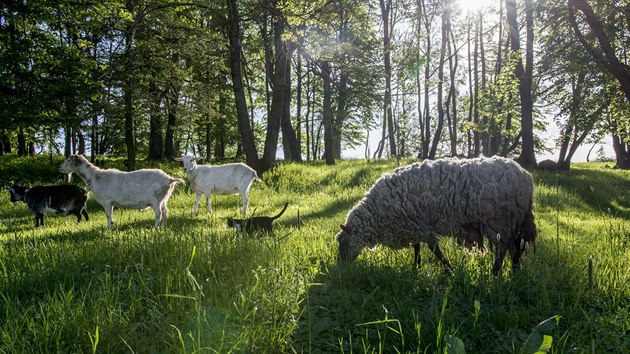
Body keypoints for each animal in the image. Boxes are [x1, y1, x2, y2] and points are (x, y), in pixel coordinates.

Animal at [336, 156, 540, 276]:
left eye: (343, 243)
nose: (340, 267)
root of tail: (527, 177)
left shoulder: (419, 225)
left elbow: (433, 249)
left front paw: (448, 269)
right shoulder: (414, 223)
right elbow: (418, 247)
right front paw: (417, 266)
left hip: (498, 220)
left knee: (504, 247)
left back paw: (496, 272)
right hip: (512, 221)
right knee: (514, 247)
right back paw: (515, 269)